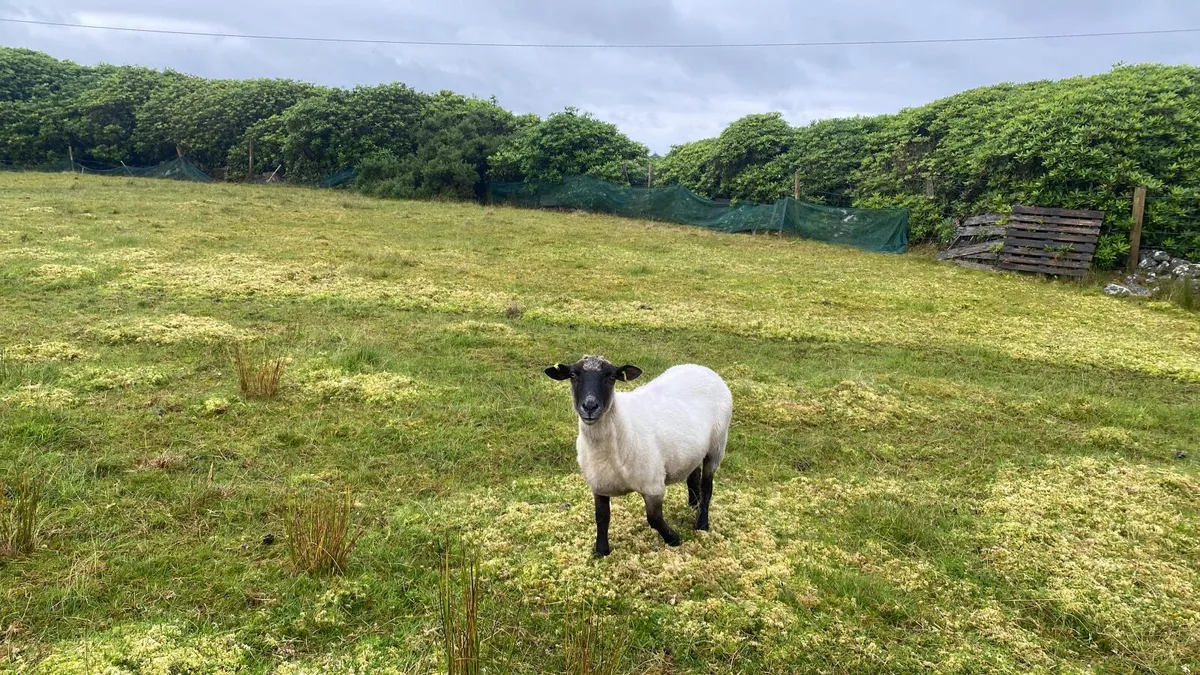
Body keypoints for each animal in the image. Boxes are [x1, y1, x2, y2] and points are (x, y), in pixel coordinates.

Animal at [544, 355, 732, 556]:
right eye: (573, 375)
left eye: (611, 377)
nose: (590, 406)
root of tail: (702, 368)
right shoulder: (599, 484)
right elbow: (602, 517)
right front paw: (601, 551)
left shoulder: (653, 485)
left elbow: (654, 518)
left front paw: (674, 539)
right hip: (693, 450)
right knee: (693, 475)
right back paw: (693, 505)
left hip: (717, 446)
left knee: (707, 488)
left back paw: (702, 524)